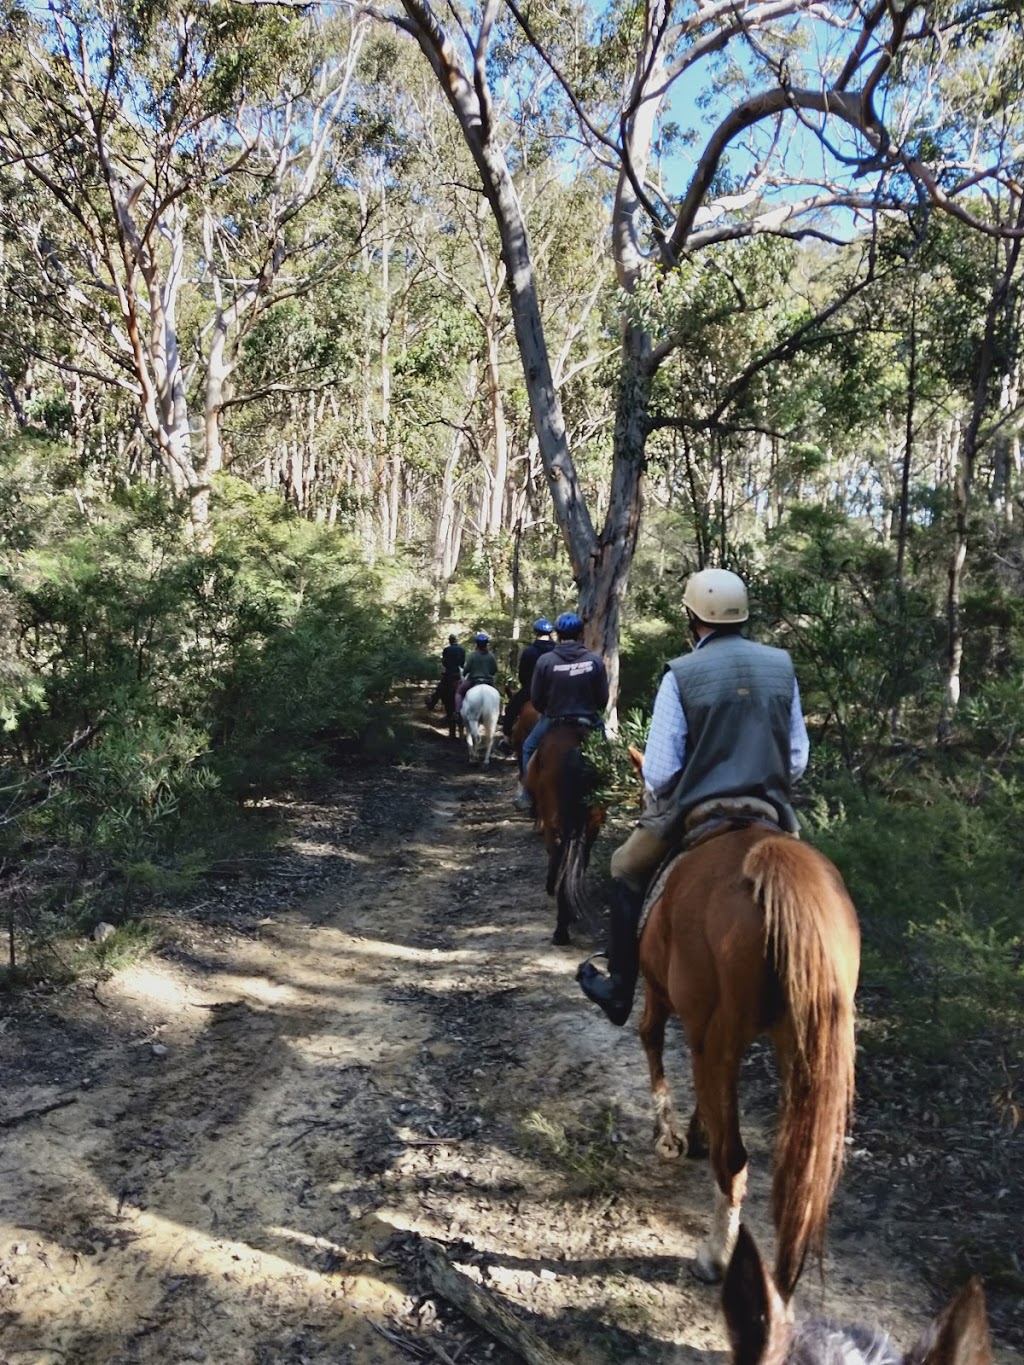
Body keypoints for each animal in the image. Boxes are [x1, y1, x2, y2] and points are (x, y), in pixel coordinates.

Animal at [638, 819, 862, 1299]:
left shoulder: (658, 990)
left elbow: (651, 1037)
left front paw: (668, 1135)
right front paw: (693, 1133)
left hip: (719, 1039)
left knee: (734, 1158)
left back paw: (715, 1257)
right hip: (802, 1049)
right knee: (797, 1177)